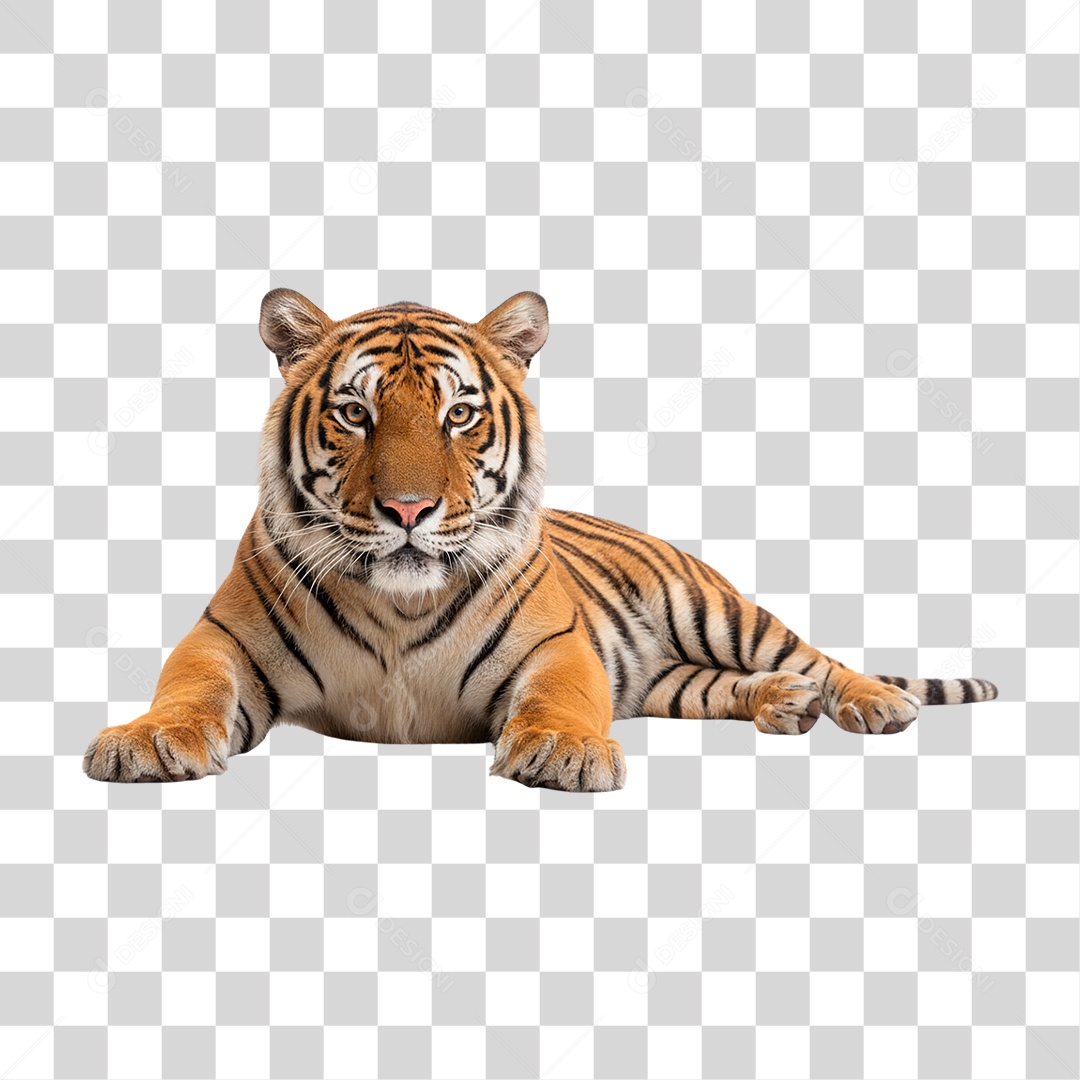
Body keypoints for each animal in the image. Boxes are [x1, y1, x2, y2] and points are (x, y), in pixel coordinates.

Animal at [82, 289, 999, 791]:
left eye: (459, 414)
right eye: (354, 412)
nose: (408, 509)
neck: (396, 609)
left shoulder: (558, 648)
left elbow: (560, 698)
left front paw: (562, 751)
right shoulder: (221, 638)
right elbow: (189, 686)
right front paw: (149, 740)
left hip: (719, 612)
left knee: (815, 656)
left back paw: (869, 701)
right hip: (671, 682)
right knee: (724, 685)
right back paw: (783, 703)